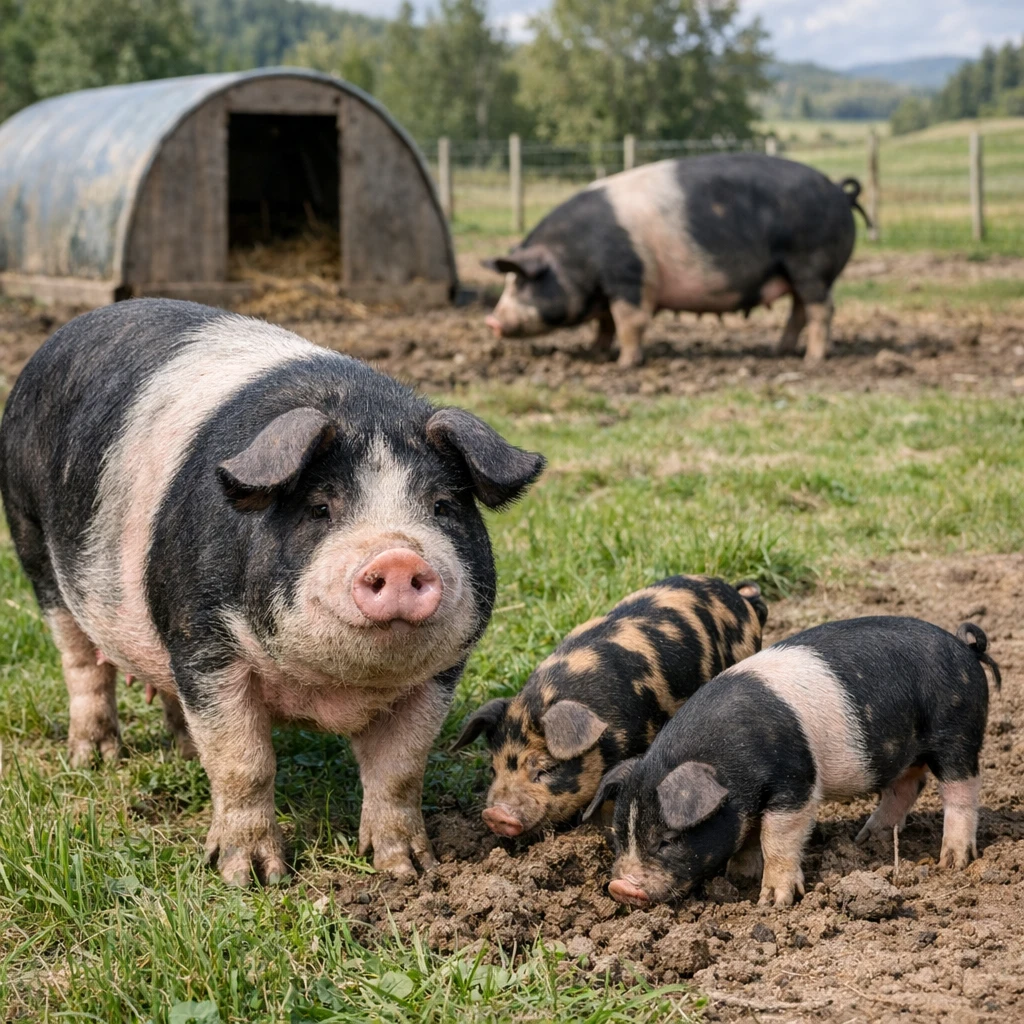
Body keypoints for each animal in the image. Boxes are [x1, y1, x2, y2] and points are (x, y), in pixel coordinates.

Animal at [0, 298, 544, 885]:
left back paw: (182, 752)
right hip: (32, 541)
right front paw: (252, 876)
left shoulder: (441, 672)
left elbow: (400, 768)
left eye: (442, 506)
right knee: (81, 663)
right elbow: (244, 761)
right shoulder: (205, 641)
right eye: (319, 507)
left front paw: (409, 869)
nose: (398, 558)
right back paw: (95, 758)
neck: (331, 691)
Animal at [484, 154, 870, 367]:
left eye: (523, 282)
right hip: (797, 273)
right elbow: (606, 323)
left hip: (810, 263)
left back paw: (813, 359)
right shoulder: (610, 285)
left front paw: (625, 364)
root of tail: (840, 191)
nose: (491, 321)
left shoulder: (628, 275)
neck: (574, 254)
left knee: (821, 309)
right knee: (799, 310)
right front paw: (595, 353)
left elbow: (629, 321)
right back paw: (780, 351)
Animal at [588, 617, 1001, 908]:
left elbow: (776, 838)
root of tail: (966, 648)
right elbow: (749, 835)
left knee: (961, 787)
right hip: (904, 746)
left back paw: (952, 861)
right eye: (618, 835)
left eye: (668, 840)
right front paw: (740, 876)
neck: (726, 758)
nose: (620, 887)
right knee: (908, 784)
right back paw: (867, 837)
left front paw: (773, 901)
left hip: (956, 728)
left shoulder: (795, 781)